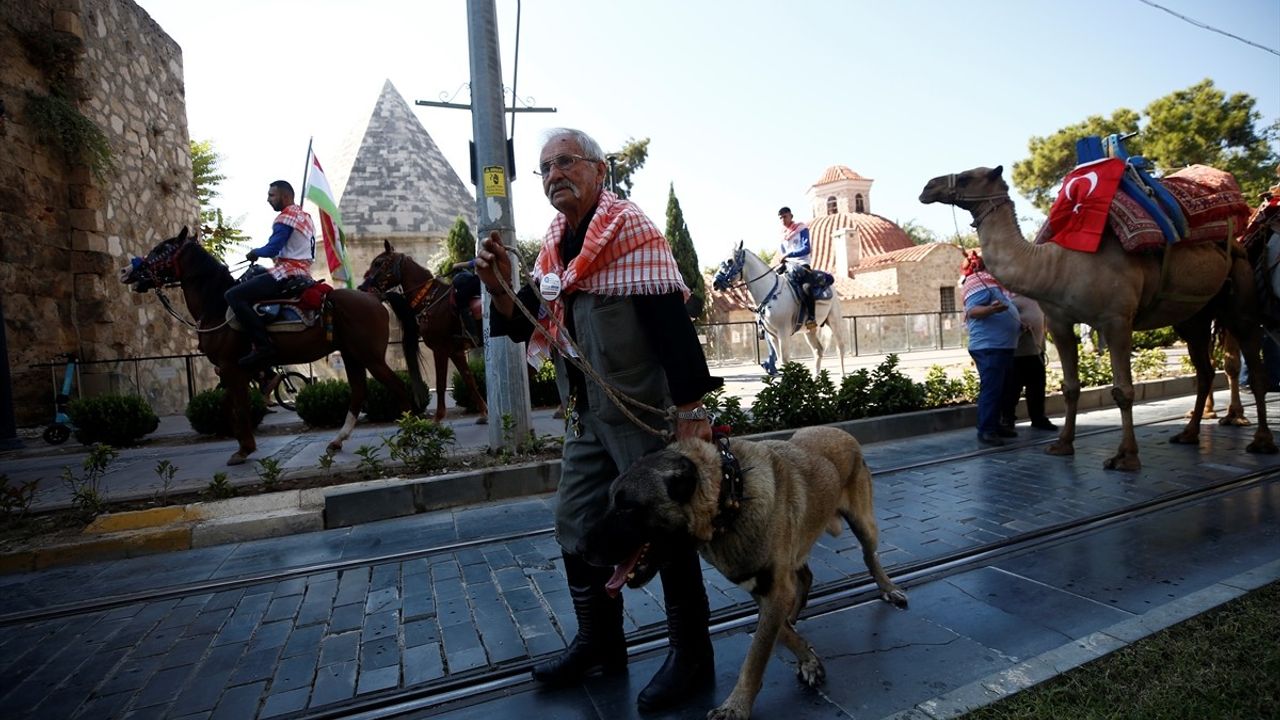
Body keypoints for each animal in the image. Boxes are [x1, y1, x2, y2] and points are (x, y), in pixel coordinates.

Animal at [122, 228, 427, 466]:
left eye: (161, 249)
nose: (126, 271)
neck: (217, 306)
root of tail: (375, 298)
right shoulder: (233, 370)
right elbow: (229, 404)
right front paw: (241, 441)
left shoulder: (231, 367)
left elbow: (239, 406)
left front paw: (244, 448)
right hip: (352, 356)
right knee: (359, 393)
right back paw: (338, 440)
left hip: (370, 357)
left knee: (396, 387)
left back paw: (408, 432)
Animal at [360, 240, 488, 420]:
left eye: (378, 263)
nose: (362, 287)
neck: (431, 299)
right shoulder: (455, 351)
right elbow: (469, 381)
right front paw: (484, 412)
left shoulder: (440, 349)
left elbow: (441, 384)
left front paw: (438, 417)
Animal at [583, 422, 911, 712]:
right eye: (611, 501)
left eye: (627, 506)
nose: (581, 550)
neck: (731, 495)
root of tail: (839, 431)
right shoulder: (760, 585)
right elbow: (776, 633)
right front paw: (806, 656)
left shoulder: (773, 587)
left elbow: (755, 658)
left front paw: (735, 706)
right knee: (805, 575)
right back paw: (795, 613)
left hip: (864, 524)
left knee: (870, 557)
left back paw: (888, 588)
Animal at [716, 240, 844, 376]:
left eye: (729, 260)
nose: (715, 282)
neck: (770, 293)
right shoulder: (772, 335)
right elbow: (781, 362)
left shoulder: (783, 333)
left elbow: (785, 360)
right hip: (810, 330)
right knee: (818, 351)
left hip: (834, 321)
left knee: (840, 347)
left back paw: (843, 376)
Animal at [921, 163, 1269, 471]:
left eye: (966, 178)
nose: (927, 187)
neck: (1056, 265)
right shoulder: (1059, 323)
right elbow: (1070, 386)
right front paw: (1063, 444)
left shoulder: (1116, 320)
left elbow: (1123, 391)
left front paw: (1126, 457)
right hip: (1193, 316)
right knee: (1205, 370)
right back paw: (1189, 433)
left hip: (1240, 292)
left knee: (1251, 362)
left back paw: (1260, 440)